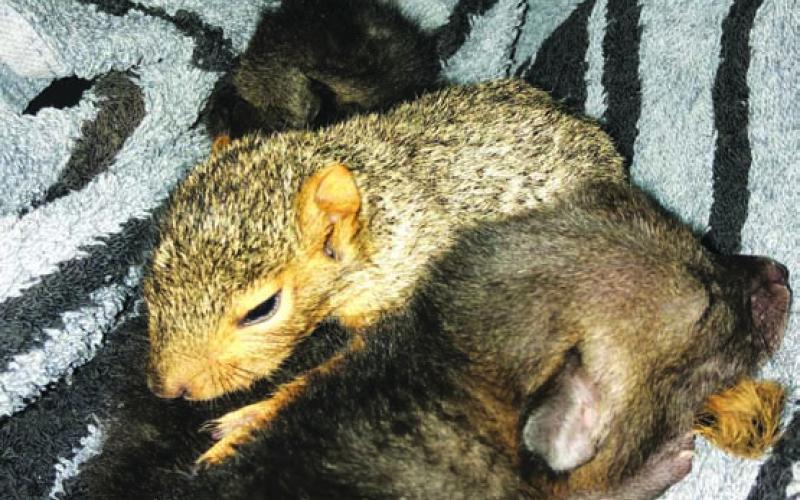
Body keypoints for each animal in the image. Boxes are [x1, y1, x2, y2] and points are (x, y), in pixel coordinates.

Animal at [144, 79, 627, 465]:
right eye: (153, 270)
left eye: (262, 309)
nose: (169, 388)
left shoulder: (400, 310)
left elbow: (322, 379)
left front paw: (245, 425)